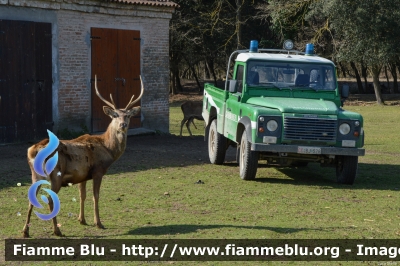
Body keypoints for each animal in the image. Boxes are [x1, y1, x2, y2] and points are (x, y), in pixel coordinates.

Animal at [22, 75, 145, 237]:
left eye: (128, 116)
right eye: (115, 116)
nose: (123, 125)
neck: (107, 149)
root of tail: (33, 150)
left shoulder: (82, 175)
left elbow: (82, 195)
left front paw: (82, 220)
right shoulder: (98, 171)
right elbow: (95, 196)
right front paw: (99, 223)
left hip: (34, 174)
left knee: (31, 198)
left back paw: (25, 231)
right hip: (56, 173)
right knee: (50, 199)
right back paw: (57, 230)